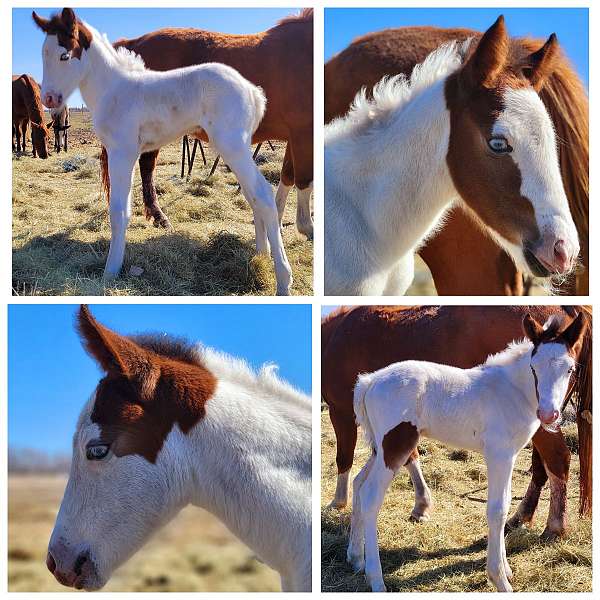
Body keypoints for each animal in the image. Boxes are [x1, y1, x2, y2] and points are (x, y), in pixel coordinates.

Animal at [34, 8, 292, 296]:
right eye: (43, 53)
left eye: (64, 55)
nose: (49, 99)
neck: (113, 90)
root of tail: (252, 91)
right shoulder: (127, 153)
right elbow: (125, 208)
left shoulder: (122, 152)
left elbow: (118, 212)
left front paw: (110, 272)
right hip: (237, 147)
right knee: (253, 195)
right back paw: (260, 256)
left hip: (231, 144)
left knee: (263, 194)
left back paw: (283, 280)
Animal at [109, 7, 314, 237]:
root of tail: (136, 41)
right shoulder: (305, 134)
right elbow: (304, 181)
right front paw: (308, 227)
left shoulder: (295, 136)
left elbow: (287, 175)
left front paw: (277, 223)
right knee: (146, 167)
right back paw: (159, 216)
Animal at [350, 312, 588, 592]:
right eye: (534, 367)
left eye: (569, 368)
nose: (549, 415)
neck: (512, 391)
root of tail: (370, 381)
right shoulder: (499, 453)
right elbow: (496, 510)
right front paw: (499, 579)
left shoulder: (510, 455)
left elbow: (505, 502)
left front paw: (506, 571)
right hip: (395, 445)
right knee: (370, 495)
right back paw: (376, 580)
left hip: (380, 447)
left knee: (358, 482)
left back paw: (356, 558)